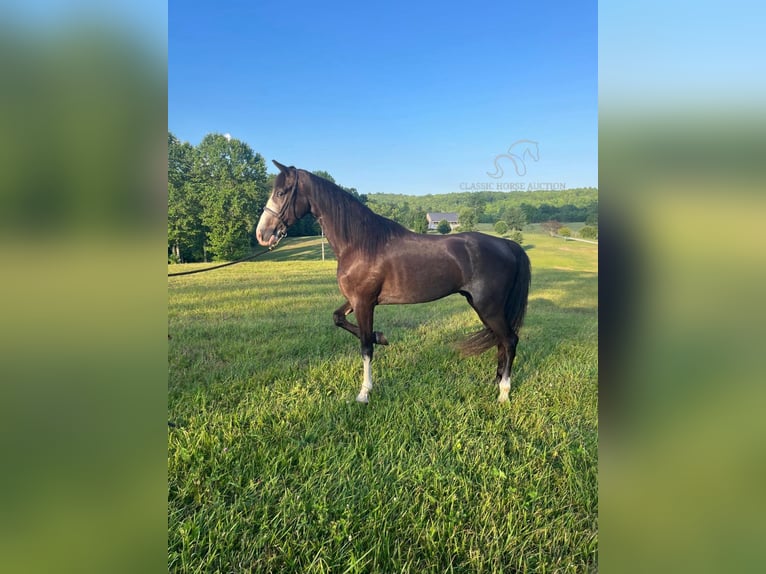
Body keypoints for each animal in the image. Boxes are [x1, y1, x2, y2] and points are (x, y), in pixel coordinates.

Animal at [255, 161, 532, 404]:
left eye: (281, 192)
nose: (262, 234)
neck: (361, 243)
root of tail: (508, 245)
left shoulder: (364, 303)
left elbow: (365, 346)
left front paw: (364, 393)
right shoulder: (355, 300)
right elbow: (338, 319)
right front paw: (382, 337)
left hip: (489, 307)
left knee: (510, 340)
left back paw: (504, 394)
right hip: (483, 307)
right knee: (501, 340)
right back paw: (497, 382)